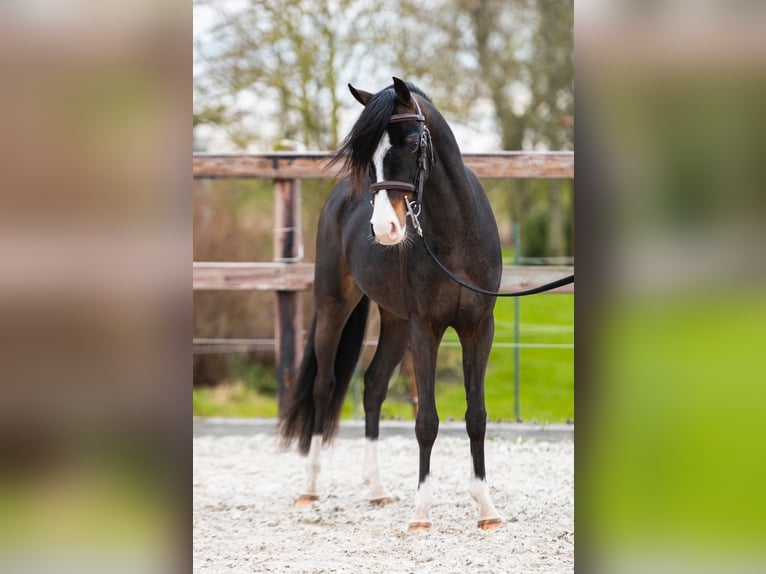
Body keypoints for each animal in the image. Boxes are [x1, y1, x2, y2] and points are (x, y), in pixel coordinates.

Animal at [279, 77, 503, 531]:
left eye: (414, 142)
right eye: (369, 157)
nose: (384, 229)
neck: (457, 237)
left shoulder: (477, 328)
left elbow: (476, 416)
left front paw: (486, 509)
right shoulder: (426, 329)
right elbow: (426, 421)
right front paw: (421, 513)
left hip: (396, 322)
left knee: (373, 385)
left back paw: (378, 489)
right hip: (335, 305)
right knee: (324, 386)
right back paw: (310, 488)